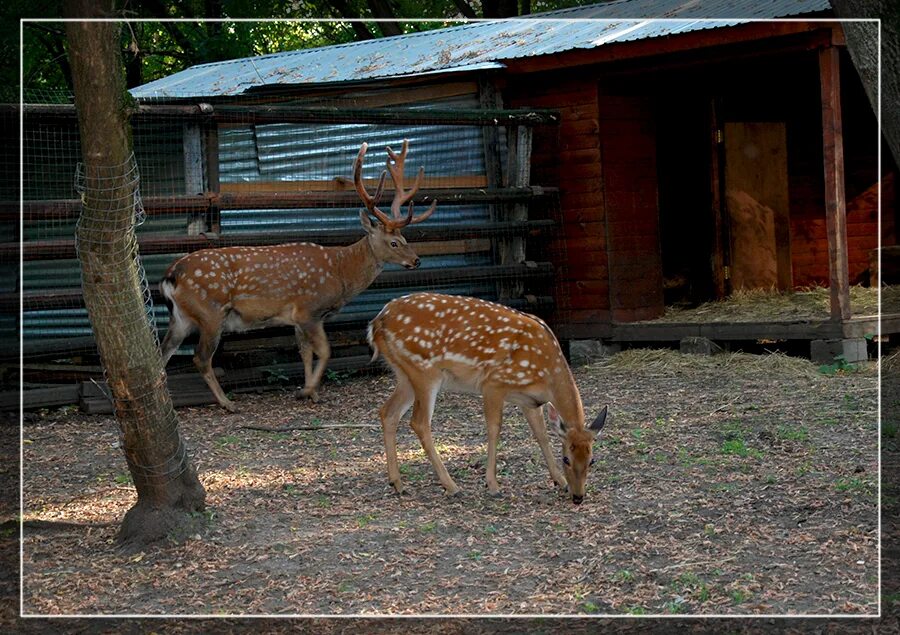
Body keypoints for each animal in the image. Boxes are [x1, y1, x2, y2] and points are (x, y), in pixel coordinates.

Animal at [161, 140, 436, 412]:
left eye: (405, 238)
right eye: (394, 243)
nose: (417, 260)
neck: (340, 272)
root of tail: (171, 275)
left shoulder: (298, 317)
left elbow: (305, 352)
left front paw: (310, 392)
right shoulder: (309, 309)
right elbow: (324, 351)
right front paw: (307, 391)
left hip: (181, 317)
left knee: (164, 351)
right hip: (211, 313)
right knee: (200, 358)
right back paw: (227, 403)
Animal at [368, 294, 612, 506]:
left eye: (592, 460)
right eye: (567, 459)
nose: (578, 496)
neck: (546, 372)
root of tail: (377, 322)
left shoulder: (530, 401)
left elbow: (541, 434)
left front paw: (559, 481)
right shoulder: (493, 383)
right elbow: (494, 429)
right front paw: (493, 485)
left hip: (404, 374)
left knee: (388, 412)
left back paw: (397, 483)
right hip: (424, 371)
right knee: (418, 422)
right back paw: (451, 486)